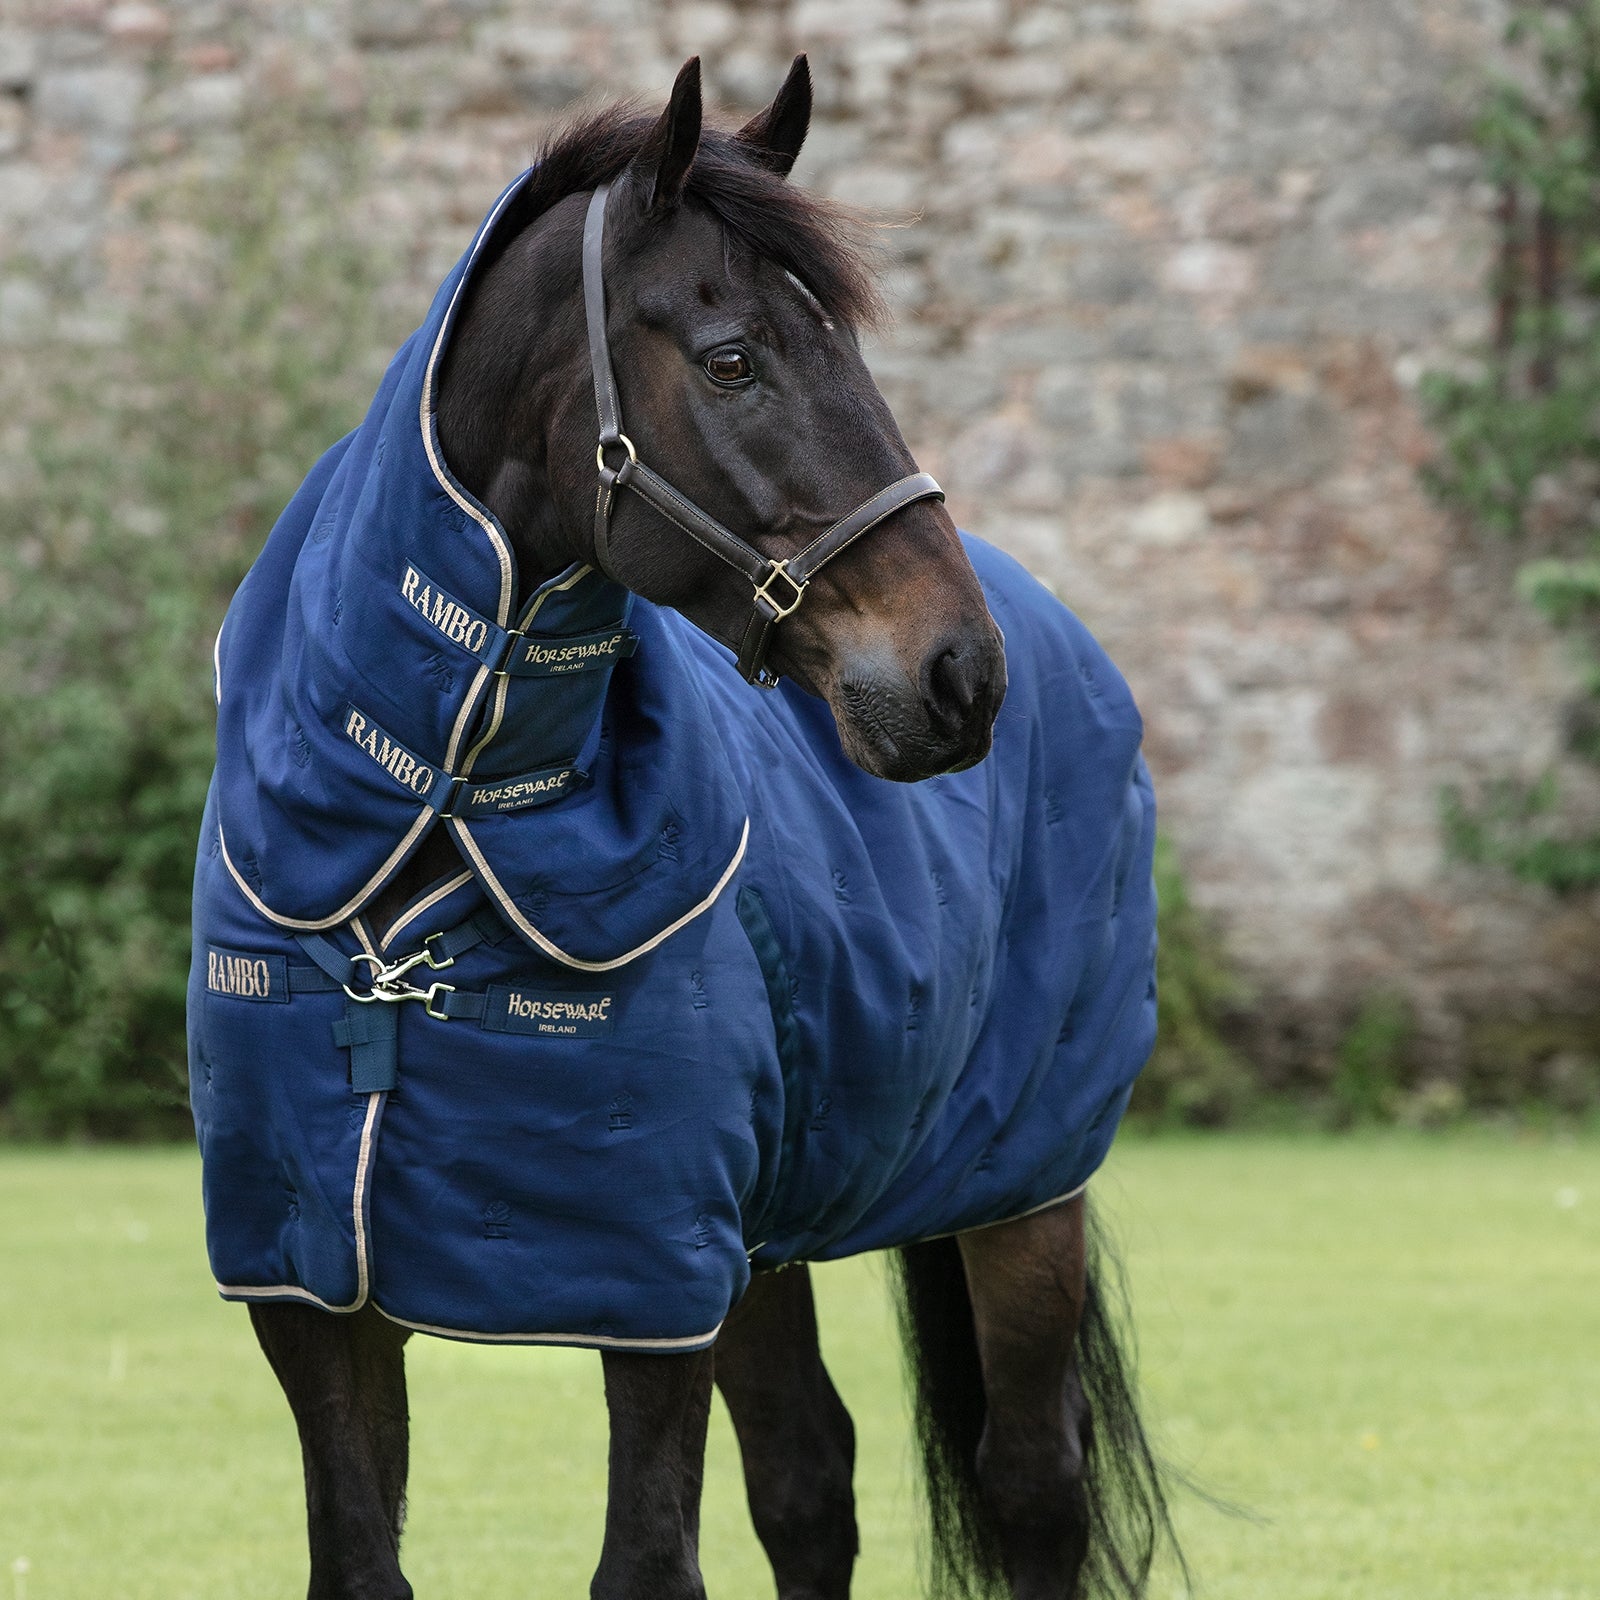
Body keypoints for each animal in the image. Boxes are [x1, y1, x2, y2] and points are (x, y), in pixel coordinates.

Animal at [187, 55, 1180, 1600]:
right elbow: (361, 1556)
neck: (438, 817)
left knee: (1032, 1487)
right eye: (730, 359)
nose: (959, 673)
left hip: (1022, 1190)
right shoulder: (313, 1289)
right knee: (809, 1482)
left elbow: (647, 1563)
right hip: (765, 1243)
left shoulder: (648, 1292)